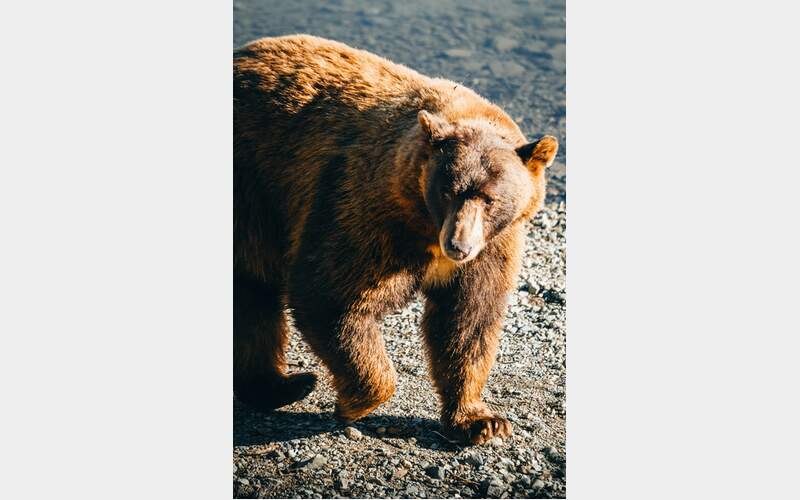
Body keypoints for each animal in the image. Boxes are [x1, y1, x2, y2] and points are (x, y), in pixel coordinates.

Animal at [233, 34, 558, 445]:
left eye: (490, 198)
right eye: (448, 191)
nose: (458, 246)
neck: (426, 226)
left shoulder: (494, 246)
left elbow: (467, 320)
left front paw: (480, 420)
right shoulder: (365, 205)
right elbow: (332, 294)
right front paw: (356, 401)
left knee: (252, 296)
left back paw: (280, 385)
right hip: (254, 188)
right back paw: (294, 382)